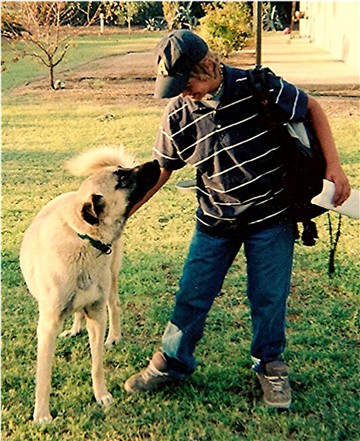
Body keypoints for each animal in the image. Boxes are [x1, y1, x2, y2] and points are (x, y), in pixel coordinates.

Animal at [19, 148, 160, 422]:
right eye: (121, 179)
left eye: (123, 172)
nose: (157, 162)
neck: (84, 239)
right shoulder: (48, 326)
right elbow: (44, 376)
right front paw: (42, 414)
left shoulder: (97, 313)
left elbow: (97, 365)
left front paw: (101, 396)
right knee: (78, 313)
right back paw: (74, 329)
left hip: (111, 281)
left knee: (114, 305)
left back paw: (114, 336)